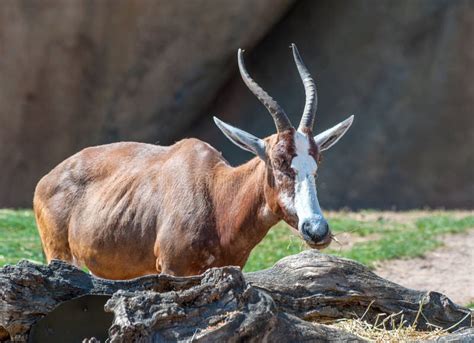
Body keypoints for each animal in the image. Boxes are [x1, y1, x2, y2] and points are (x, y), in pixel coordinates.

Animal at [35, 43, 354, 280]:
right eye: (278, 162)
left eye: (316, 164)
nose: (317, 230)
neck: (216, 192)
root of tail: (49, 178)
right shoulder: (172, 271)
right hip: (59, 256)